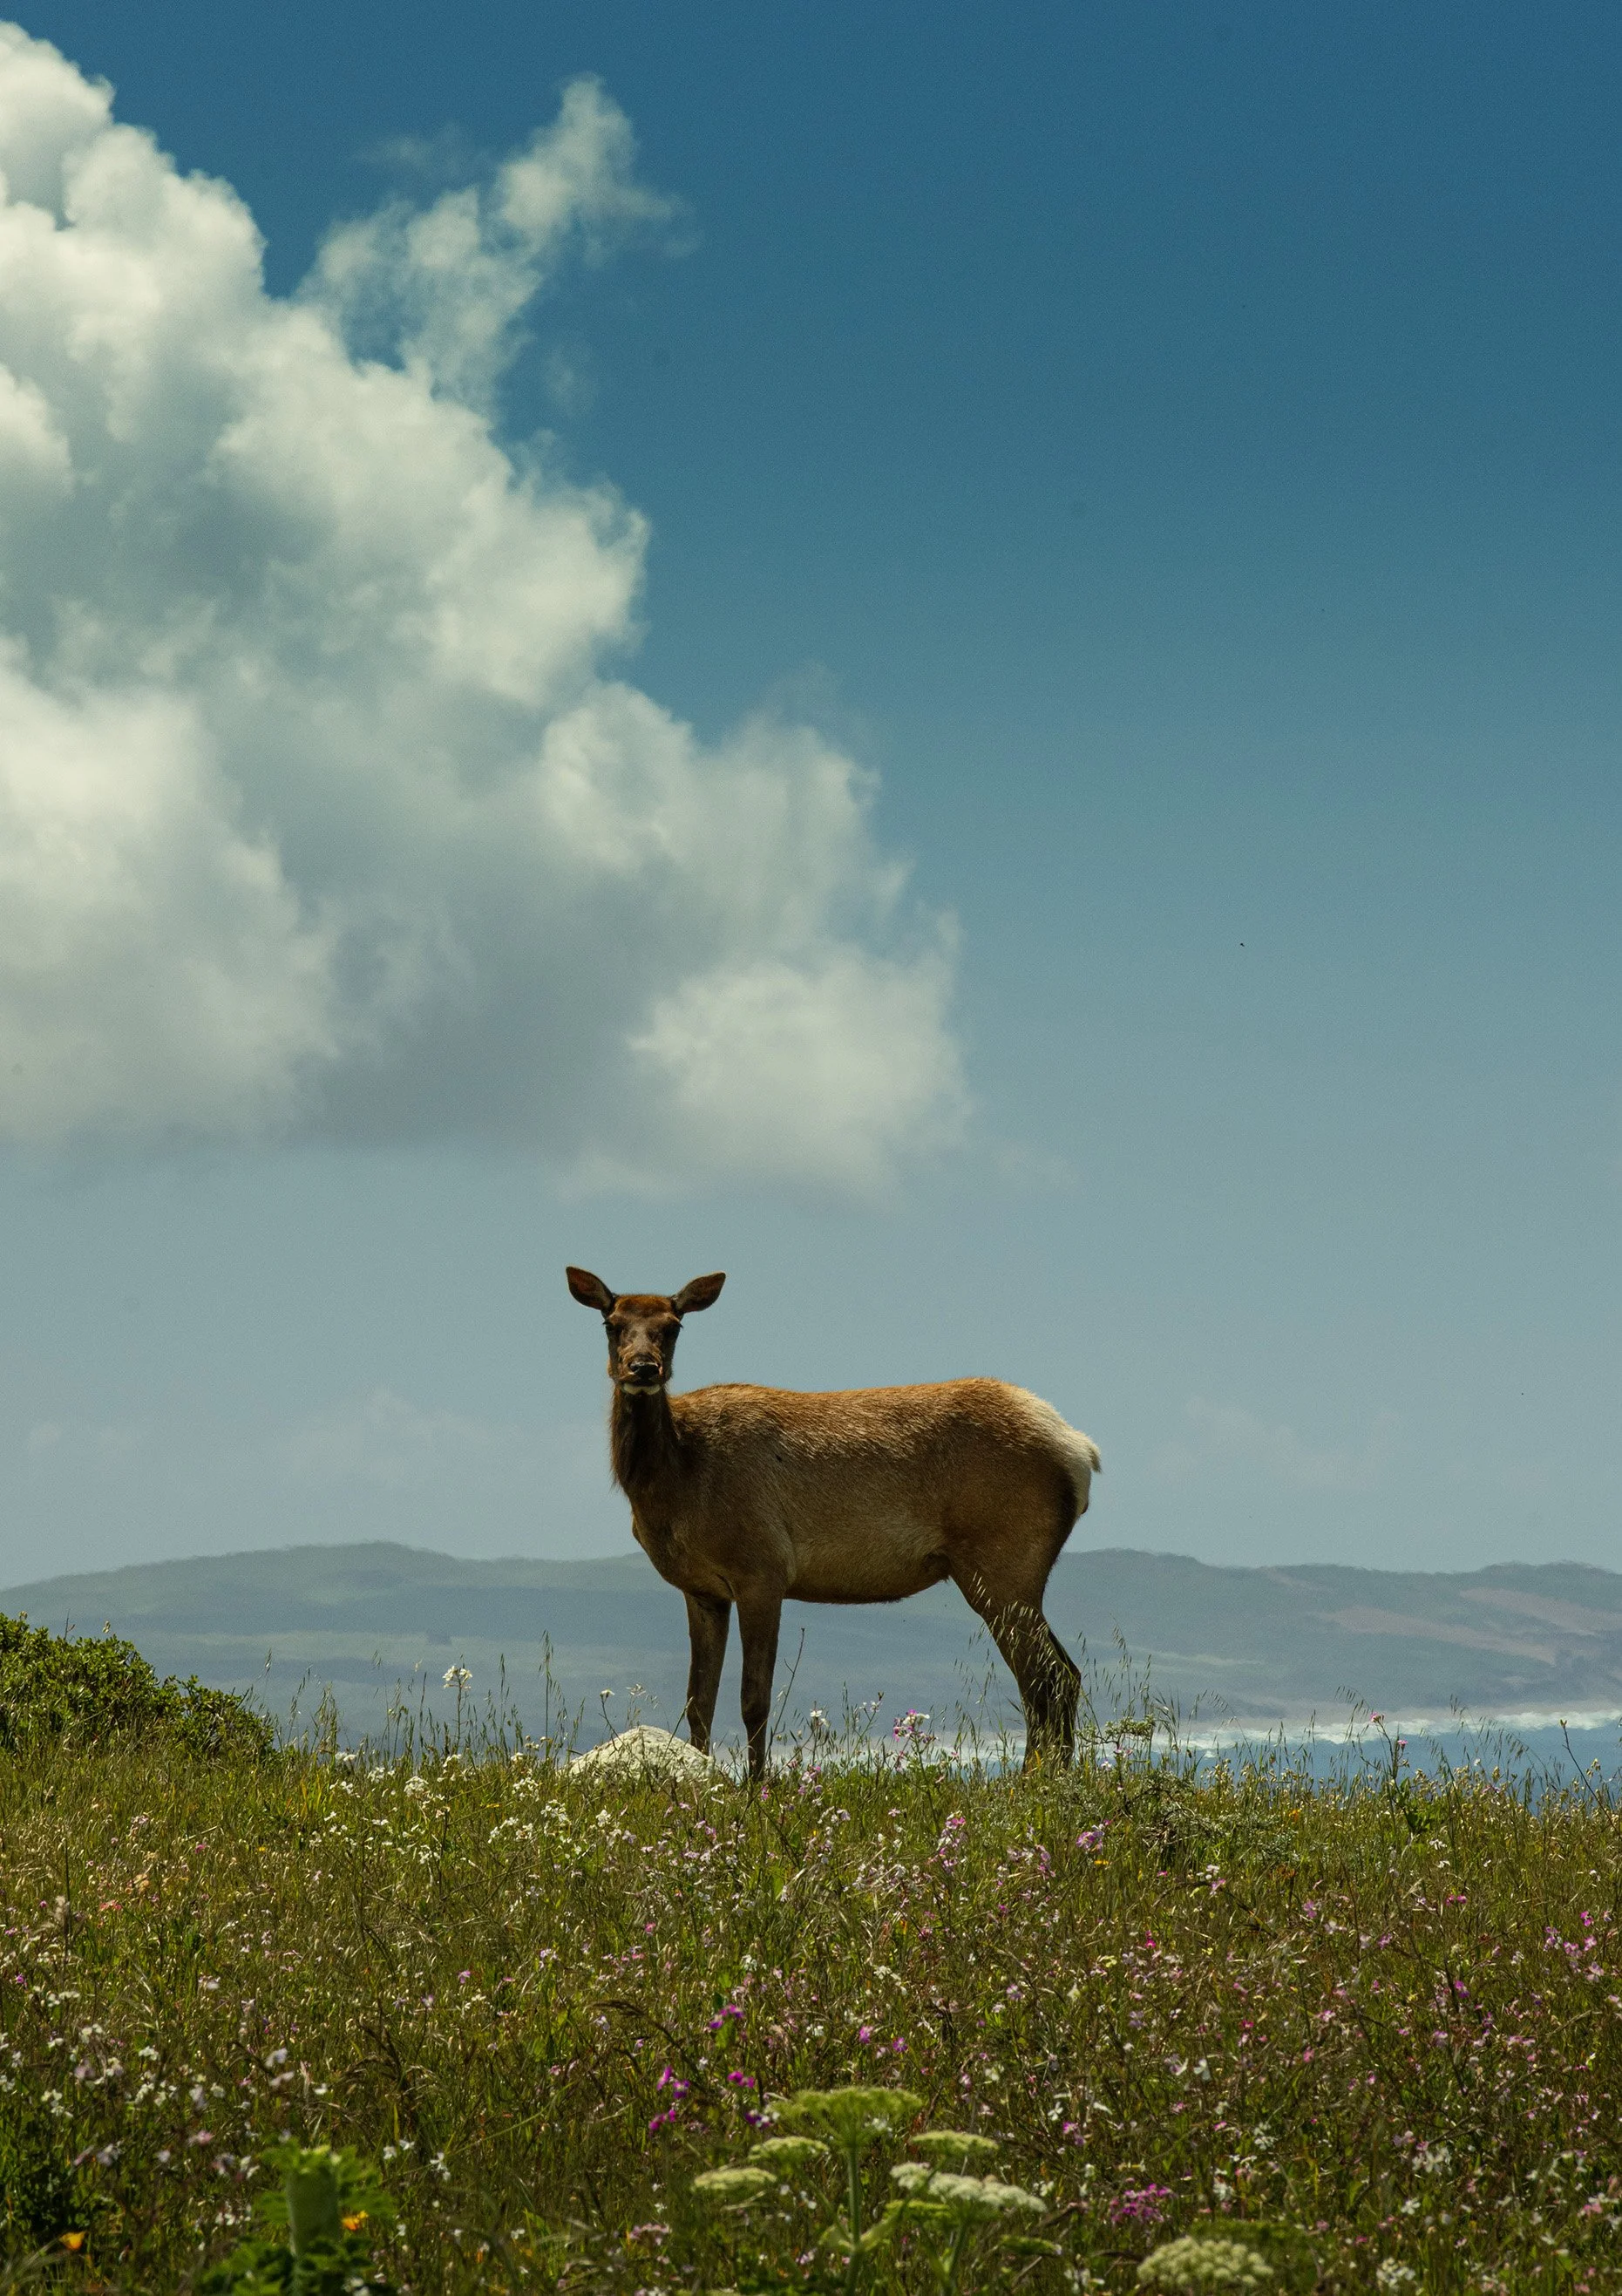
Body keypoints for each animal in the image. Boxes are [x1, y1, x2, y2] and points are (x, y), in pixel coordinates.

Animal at [566, 1265, 1100, 1779]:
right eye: (612, 1323)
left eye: (673, 1326)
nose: (643, 1367)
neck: (674, 1486)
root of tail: (1080, 1451)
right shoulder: (702, 1589)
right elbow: (699, 1702)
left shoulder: (763, 1569)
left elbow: (754, 1698)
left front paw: (755, 1785)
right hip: (1010, 1575)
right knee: (1063, 1674)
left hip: (1001, 1563)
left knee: (1045, 1677)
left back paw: (1033, 1782)